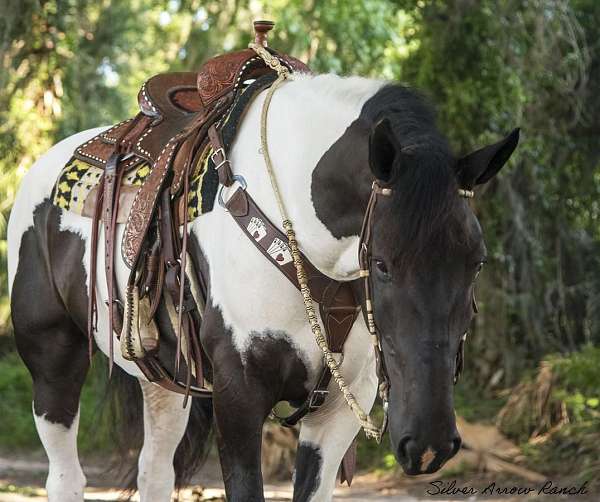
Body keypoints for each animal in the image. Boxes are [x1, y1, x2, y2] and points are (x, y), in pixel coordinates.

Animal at [7, 71, 516, 502]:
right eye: (382, 264)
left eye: (476, 263)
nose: (429, 444)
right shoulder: (239, 396)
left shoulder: (337, 409)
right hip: (54, 362)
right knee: (66, 476)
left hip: (163, 384)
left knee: (154, 472)